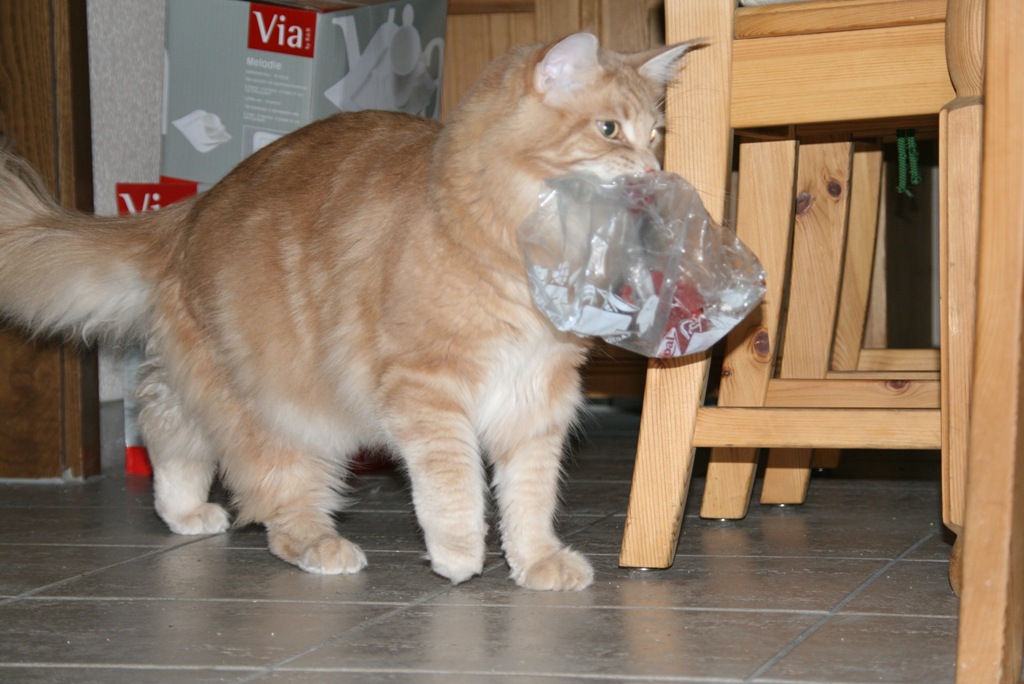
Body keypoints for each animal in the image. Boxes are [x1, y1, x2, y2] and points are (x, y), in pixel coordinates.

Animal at [0, 33, 695, 590]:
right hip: (283, 409)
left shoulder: (538, 394)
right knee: (271, 499)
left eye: (657, 134)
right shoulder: (428, 387)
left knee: (163, 415)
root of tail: (196, 206)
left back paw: (182, 509)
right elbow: (453, 482)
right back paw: (319, 545)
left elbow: (529, 492)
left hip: (218, 382)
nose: (654, 170)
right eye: (609, 130)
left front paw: (536, 561)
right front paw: (458, 555)